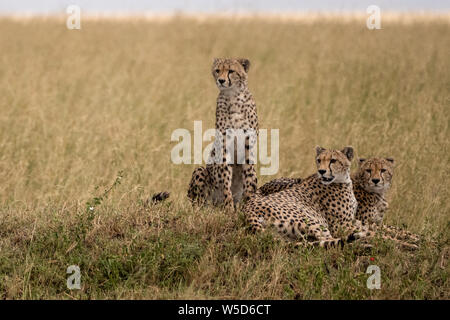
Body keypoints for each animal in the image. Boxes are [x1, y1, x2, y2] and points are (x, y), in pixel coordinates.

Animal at [185, 58, 258, 211]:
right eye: (218, 70)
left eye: (231, 71)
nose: (221, 80)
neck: (233, 97)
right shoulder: (224, 146)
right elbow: (225, 180)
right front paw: (229, 209)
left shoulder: (249, 146)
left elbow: (248, 181)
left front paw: (247, 205)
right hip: (200, 173)